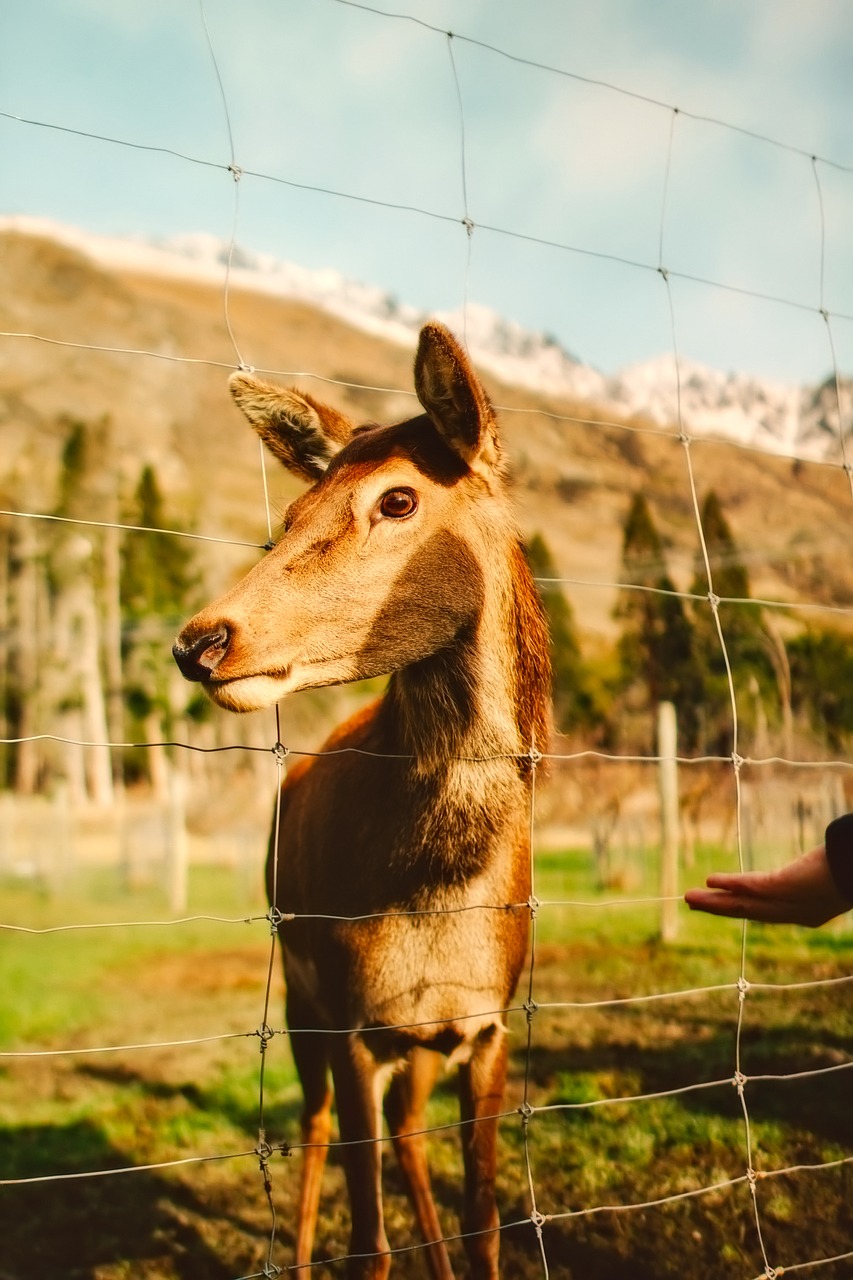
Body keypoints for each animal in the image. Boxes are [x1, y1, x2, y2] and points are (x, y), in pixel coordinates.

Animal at [171, 322, 550, 1280]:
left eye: (398, 500)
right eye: (291, 517)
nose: (200, 641)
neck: (436, 896)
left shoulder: (484, 1027)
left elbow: (487, 1224)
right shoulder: (348, 1019)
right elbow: (367, 1243)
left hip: (410, 1047)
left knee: (406, 1132)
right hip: (297, 997)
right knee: (307, 1129)